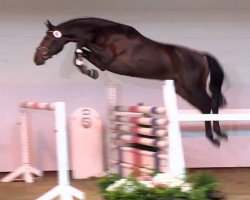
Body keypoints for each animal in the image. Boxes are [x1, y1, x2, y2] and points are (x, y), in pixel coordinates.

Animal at [33, 17, 227, 146]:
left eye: (48, 38)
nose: (36, 59)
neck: (102, 33)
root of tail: (201, 55)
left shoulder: (106, 59)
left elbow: (80, 44)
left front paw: (88, 69)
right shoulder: (102, 61)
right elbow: (79, 50)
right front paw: (88, 71)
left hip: (193, 86)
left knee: (209, 103)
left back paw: (215, 136)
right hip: (183, 89)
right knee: (205, 105)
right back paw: (215, 135)